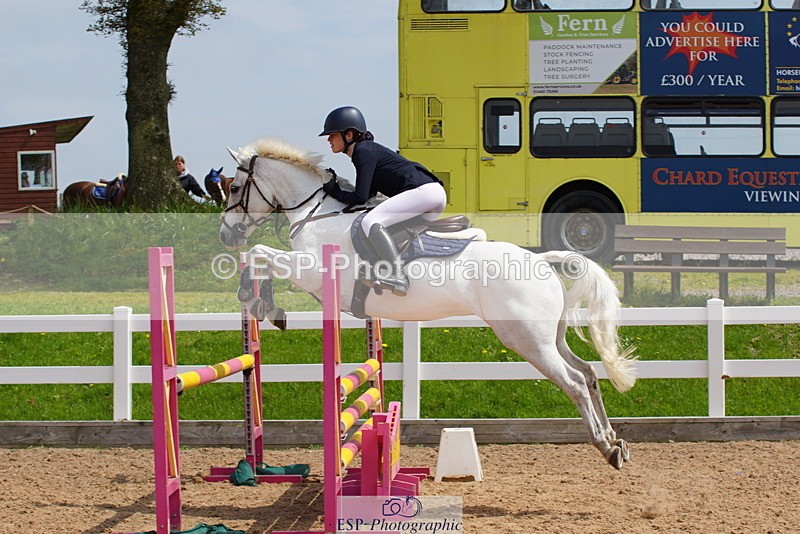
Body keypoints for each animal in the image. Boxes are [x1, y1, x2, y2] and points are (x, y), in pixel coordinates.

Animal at [219, 138, 637, 469]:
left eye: (235, 187)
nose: (226, 234)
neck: (314, 214)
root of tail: (543, 260)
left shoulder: (308, 270)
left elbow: (259, 253)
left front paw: (261, 304)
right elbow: (260, 257)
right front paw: (263, 305)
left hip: (528, 341)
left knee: (575, 383)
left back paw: (605, 447)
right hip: (551, 337)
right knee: (588, 373)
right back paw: (615, 441)